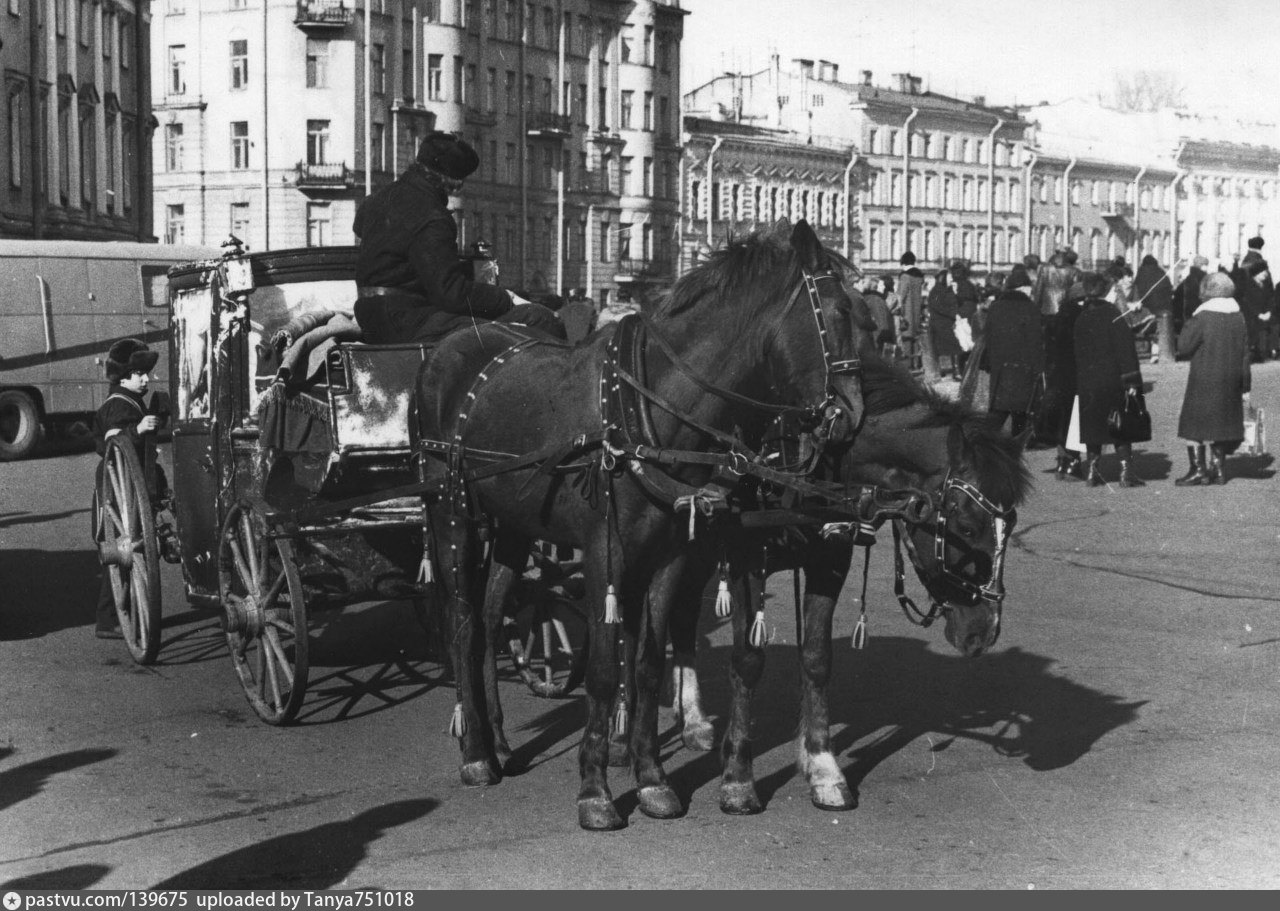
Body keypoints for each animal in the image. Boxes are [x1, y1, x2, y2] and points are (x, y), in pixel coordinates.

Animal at [414, 222, 865, 834]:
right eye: (838, 312)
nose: (854, 415)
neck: (647, 408)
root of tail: (447, 349)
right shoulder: (606, 552)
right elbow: (606, 669)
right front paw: (596, 790)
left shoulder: (669, 552)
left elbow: (649, 663)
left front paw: (652, 779)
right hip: (453, 517)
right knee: (462, 627)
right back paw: (477, 754)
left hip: (512, 526)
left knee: (487, 619)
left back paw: (502, 742)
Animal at [660, 353, 1029, 813]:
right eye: (965, 526)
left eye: (1010, 525)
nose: (984, 632)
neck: (807, 459)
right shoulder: (745, 562)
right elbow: (747, 661)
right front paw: (738, 778)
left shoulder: (830, 560)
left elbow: (817, 660)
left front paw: (823, 766)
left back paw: (691, 719)